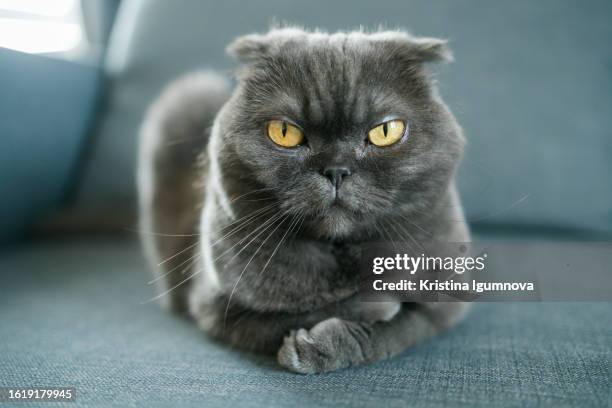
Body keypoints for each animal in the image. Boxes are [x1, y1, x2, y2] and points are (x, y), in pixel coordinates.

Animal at [137, 27, 468, 374]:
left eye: (386, 131)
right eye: (284, 132)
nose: (336, 170)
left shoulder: (449, 297)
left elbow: (400, 331)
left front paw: (327, 343)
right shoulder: (214, 304)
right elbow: (283, 315)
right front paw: (363, 311)